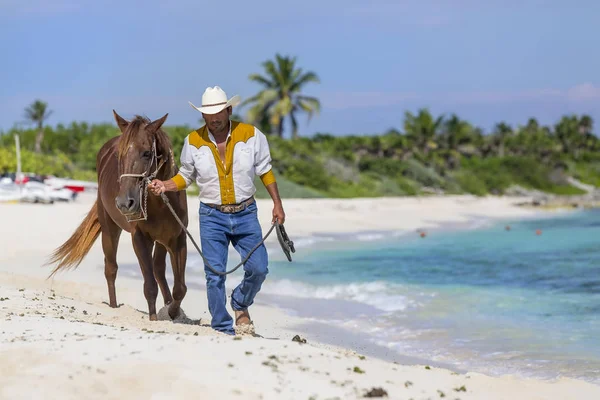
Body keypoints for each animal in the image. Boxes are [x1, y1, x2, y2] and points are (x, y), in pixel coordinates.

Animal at [46, 110, 188, 322]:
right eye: (119, 155)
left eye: (147, 153)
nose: (124, 203)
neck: (161, 202)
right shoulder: (140, 239)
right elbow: (150, 286)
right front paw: (155, 318)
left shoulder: (177, 239)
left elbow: (180, 288)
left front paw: (172, 312)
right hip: (110, 230)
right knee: (111, 268)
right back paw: (113, 306)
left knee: (158, 269)